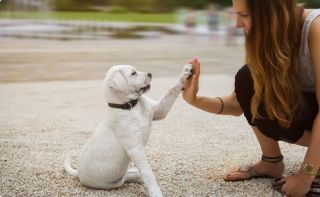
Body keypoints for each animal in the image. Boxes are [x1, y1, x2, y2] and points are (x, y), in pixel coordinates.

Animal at [63, 63, 191, 196]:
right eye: (133, 73)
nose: (150, 74)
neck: (130, 106)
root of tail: (78, 173)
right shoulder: (136, 150)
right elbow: (148, 173)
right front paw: (156, 193)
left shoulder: (160, 111)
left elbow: (171, 90)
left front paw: (185, 73)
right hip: (113, 183)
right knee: (127, 177)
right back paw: (137, 176)